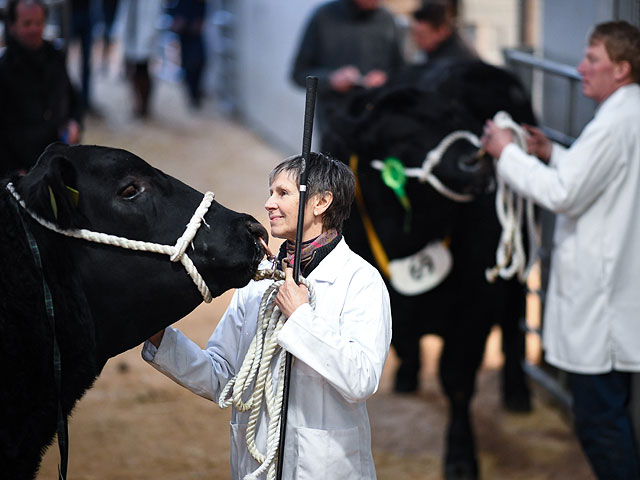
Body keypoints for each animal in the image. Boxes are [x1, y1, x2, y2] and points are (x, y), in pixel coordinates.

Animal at [324, 61, 540, 480]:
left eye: (456, 120)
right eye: (397, 138)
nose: (475, 160)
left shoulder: (475, 307)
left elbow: (456, 378)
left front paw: (461, 456)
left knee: (514, 319)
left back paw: (517, 391)